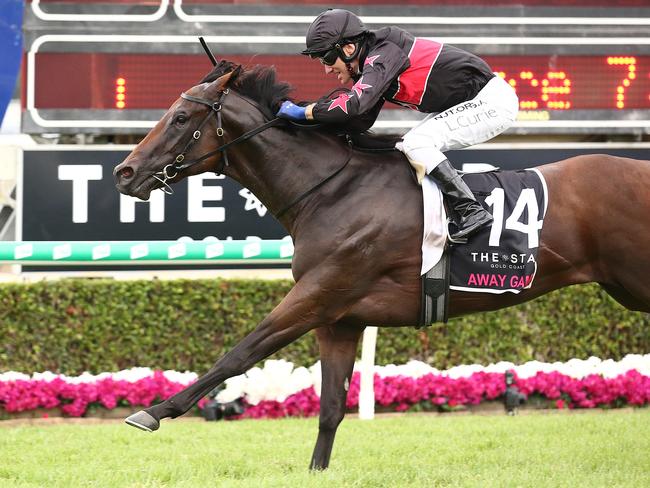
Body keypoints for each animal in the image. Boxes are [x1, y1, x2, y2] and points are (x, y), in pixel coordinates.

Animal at [112, 60, 648, 468]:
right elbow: (330, 409)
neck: (331, 190)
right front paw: (317, 471)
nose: (124, 172)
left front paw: (155, 411)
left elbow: (239, 353)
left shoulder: (317, 295)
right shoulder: (340, 319)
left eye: (181, 117)